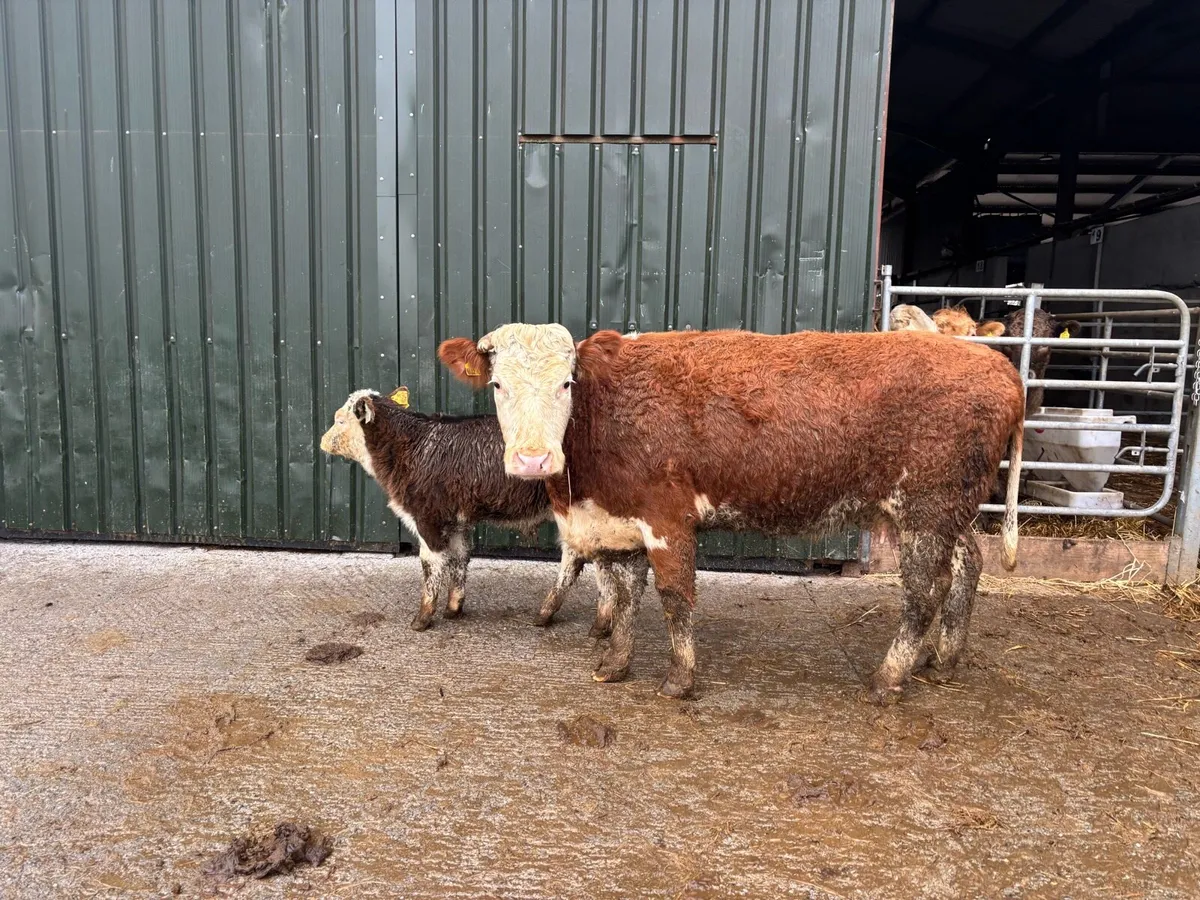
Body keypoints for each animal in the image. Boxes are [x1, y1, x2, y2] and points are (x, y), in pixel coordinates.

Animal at [320, 389, 643, 634]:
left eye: (340, 420)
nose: (322, 442)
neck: (411, 447)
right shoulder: (457, 522)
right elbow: (459, 559)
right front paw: (454, 607)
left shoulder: (427, 518)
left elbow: (430, 566)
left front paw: (423, 617)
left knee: (589, 563)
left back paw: (588, 621)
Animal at [439, 325, 1025, 704]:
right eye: (497, 385)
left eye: (567, 382)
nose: (532, 458)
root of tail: (999, 368)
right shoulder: (618, 524)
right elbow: (623, 598)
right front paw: (616, 665)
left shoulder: (667, 516)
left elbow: (675, 597)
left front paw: (679, 680)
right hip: (948, 512)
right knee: (967, 567)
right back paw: (941, 660)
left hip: (926, 507)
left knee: (925, 590)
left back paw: (888, 679)